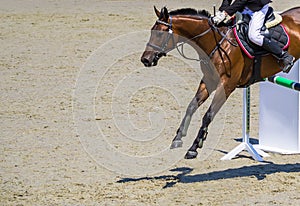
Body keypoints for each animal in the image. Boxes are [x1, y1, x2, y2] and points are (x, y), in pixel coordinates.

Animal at [141, 5, 300, 159]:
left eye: (160, 34)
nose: (145, 59)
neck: (216, 42)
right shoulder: (208, 81)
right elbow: (191, 106)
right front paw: (178, 138)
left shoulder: (226, 85)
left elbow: (208, 115)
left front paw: (194, 147)